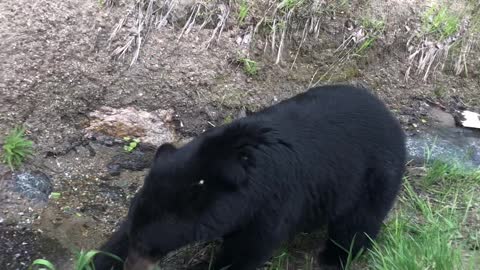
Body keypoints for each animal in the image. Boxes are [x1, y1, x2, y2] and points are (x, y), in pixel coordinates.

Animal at [93, 84, 404, 270]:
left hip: (373, 176)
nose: (132, 265)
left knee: (357, 223)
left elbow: (246, 251)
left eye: (148, 246)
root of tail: (390, 116)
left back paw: (333, 257)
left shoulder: (273, 201)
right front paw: (102, 259)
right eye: (135, 239)